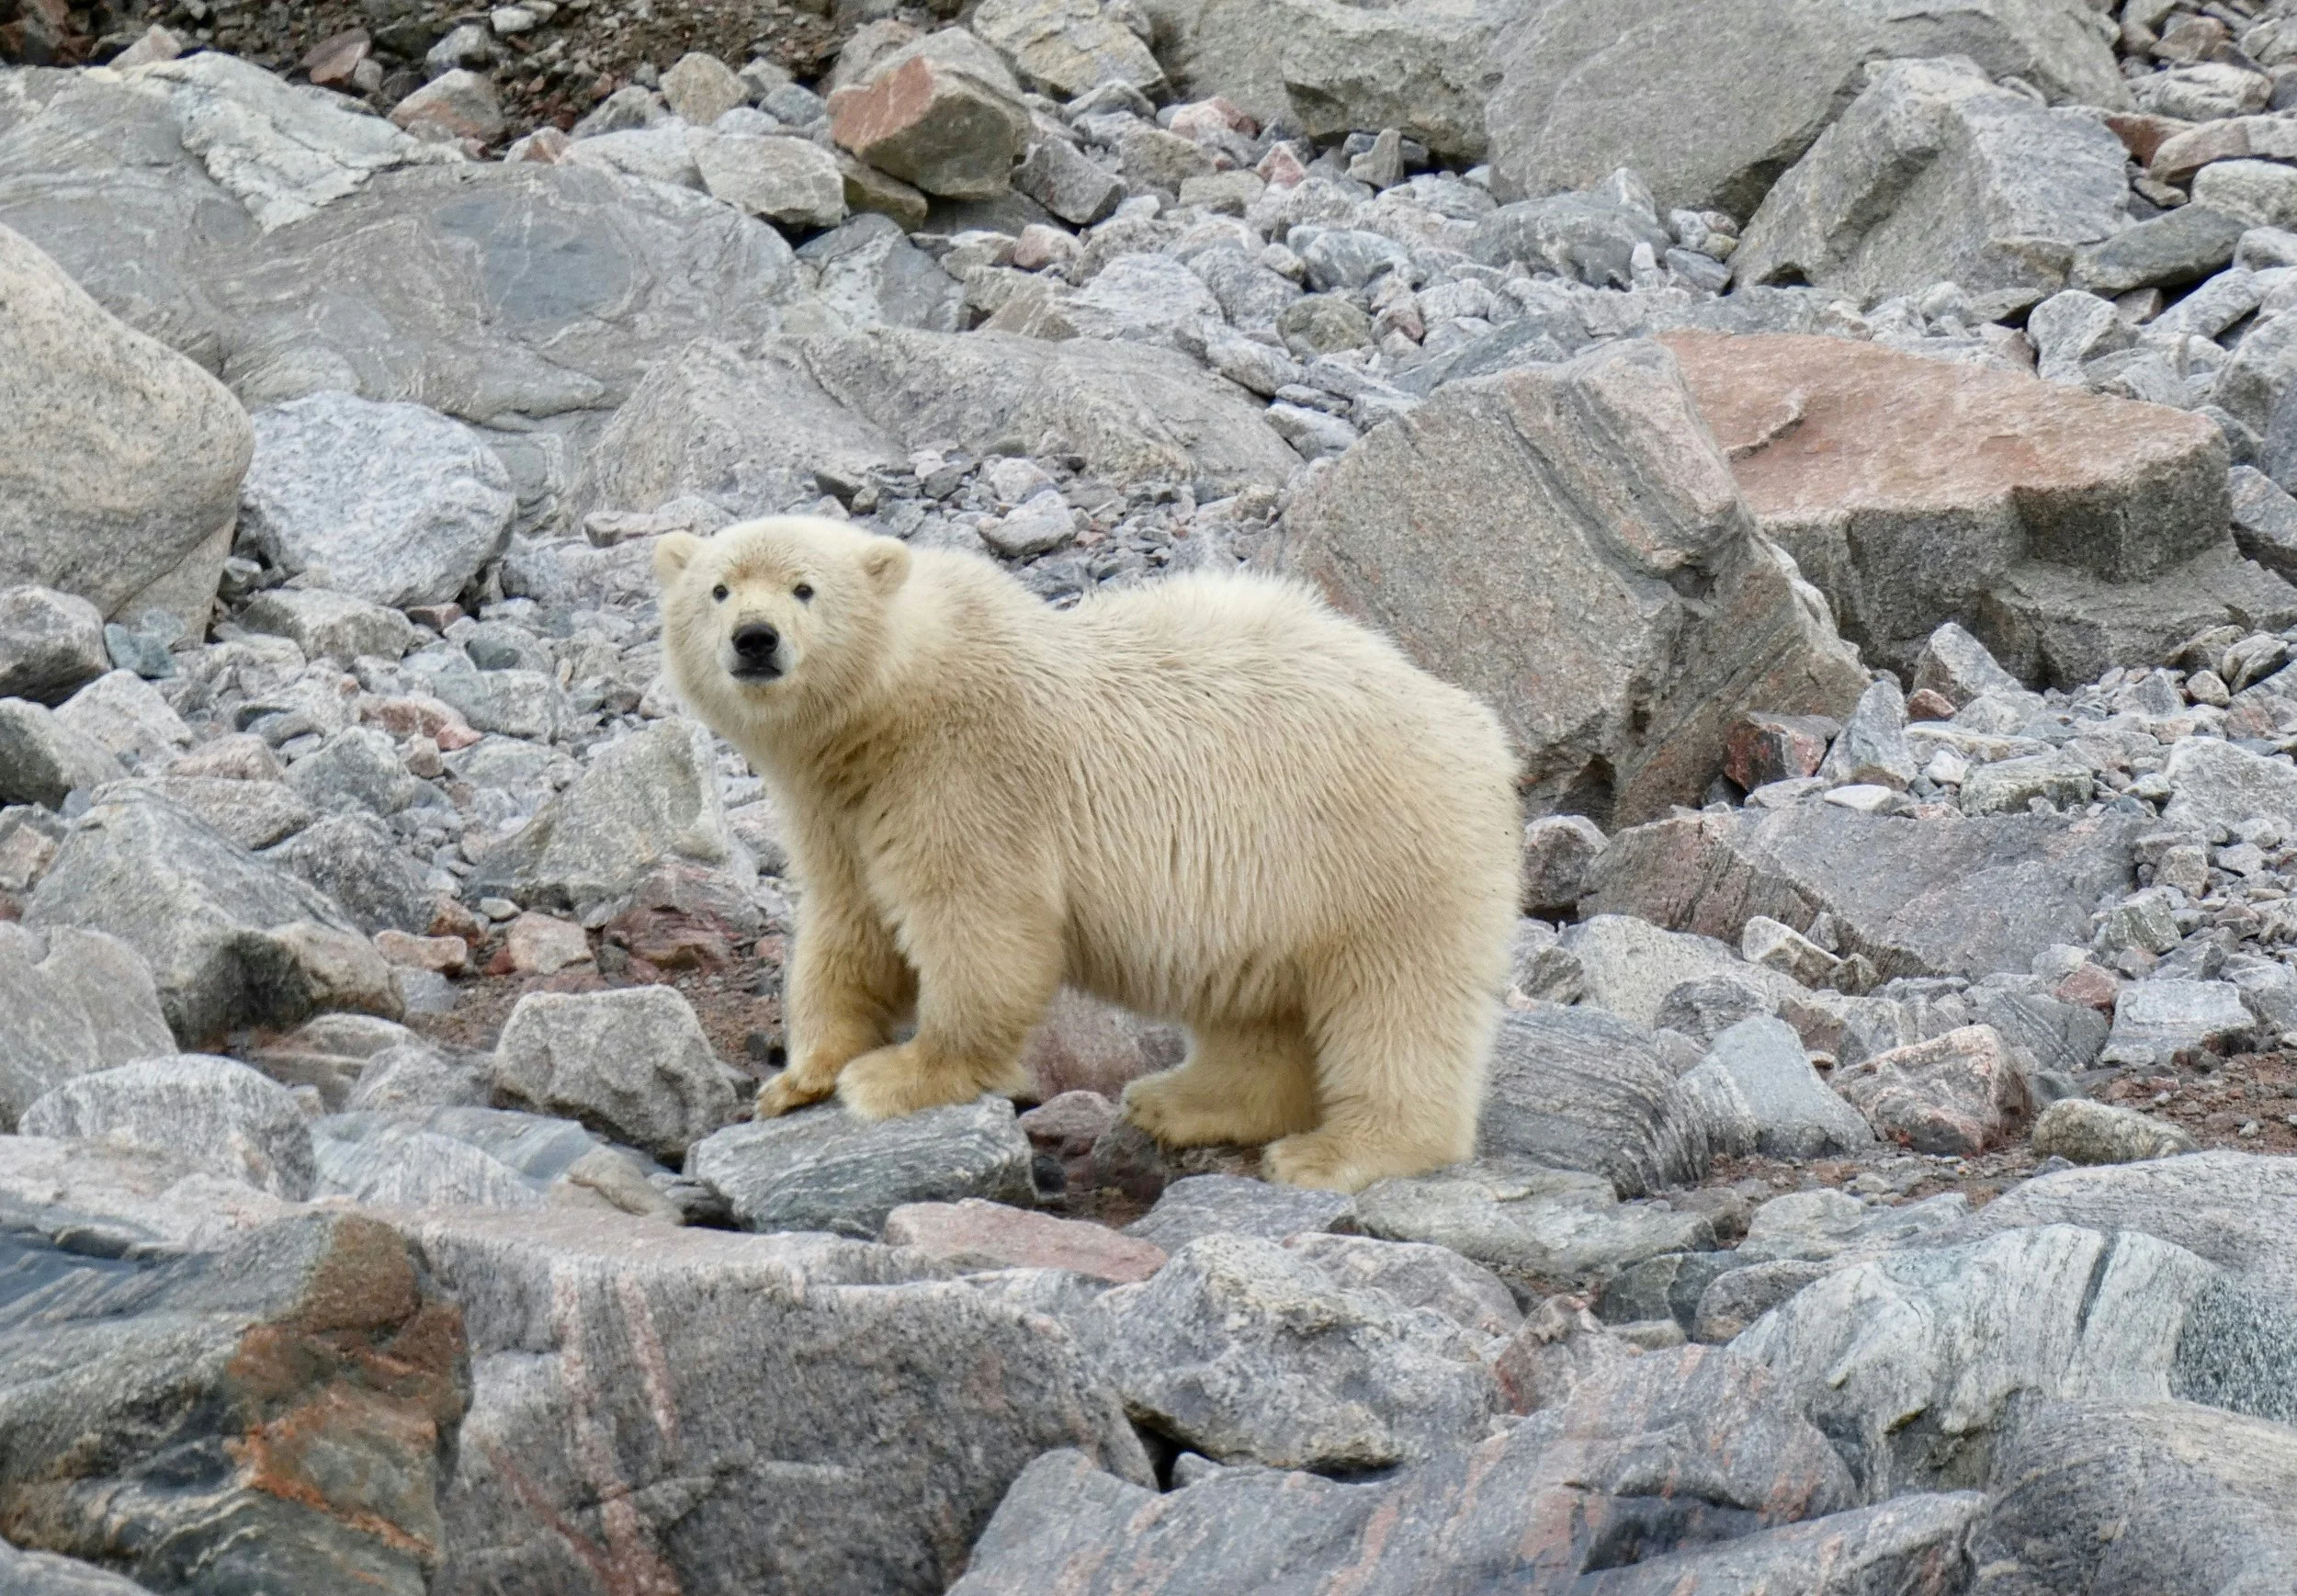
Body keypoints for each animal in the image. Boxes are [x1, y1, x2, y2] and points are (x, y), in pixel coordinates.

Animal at [655, 515, 1521, 1192]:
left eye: (805, 588)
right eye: (719, 590)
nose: (755, 639)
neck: (894, 705)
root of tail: (1478, 729)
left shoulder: (969, 771)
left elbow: (982, 926)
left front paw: (900, 1073)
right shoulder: (837, 810)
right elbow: (849, 925)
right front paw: (798, 1078)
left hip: (1376, 845)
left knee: (1396, 1001)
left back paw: (1336, 1151)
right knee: (1257, 1007)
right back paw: (1183, 1100)